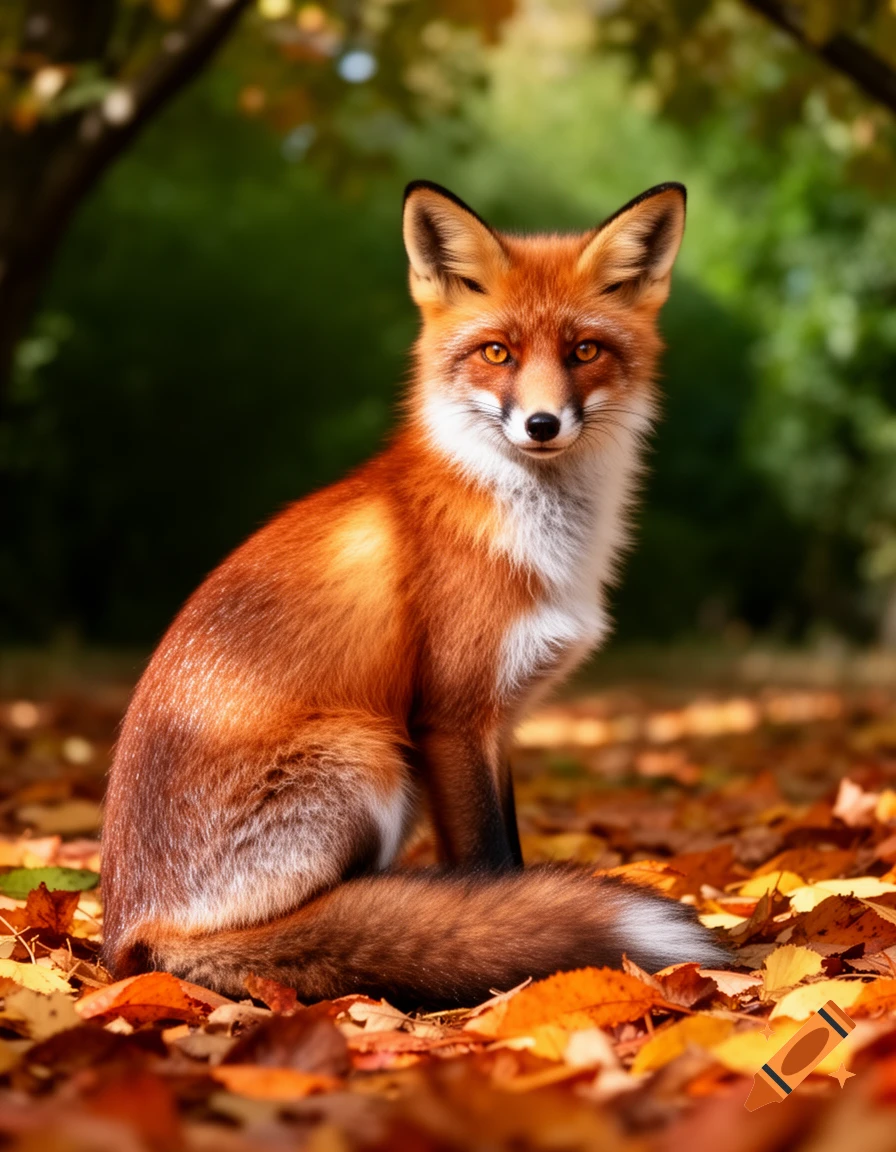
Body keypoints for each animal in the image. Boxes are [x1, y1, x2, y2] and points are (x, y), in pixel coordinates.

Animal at [102, 180, 730, 1009]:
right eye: (497, 352)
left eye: (584, 351)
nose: (541, 424)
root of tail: (130, 936)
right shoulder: (450, 716)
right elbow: (493, 868)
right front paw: (504, 960)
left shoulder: (498, 720)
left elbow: (508, 855)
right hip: (369, 756)